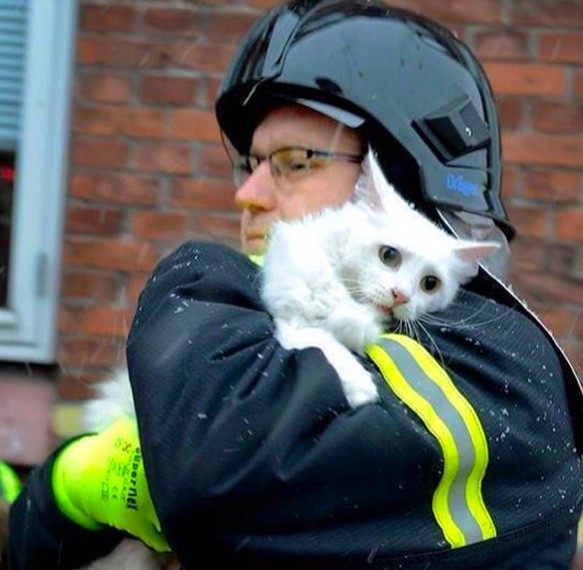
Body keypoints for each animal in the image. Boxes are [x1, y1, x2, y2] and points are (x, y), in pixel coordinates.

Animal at [262, 151, 500, 406]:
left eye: (430, 284)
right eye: (389, 255)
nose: (401, 296)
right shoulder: (292, 314)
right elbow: (322, 339)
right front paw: (358, 384)